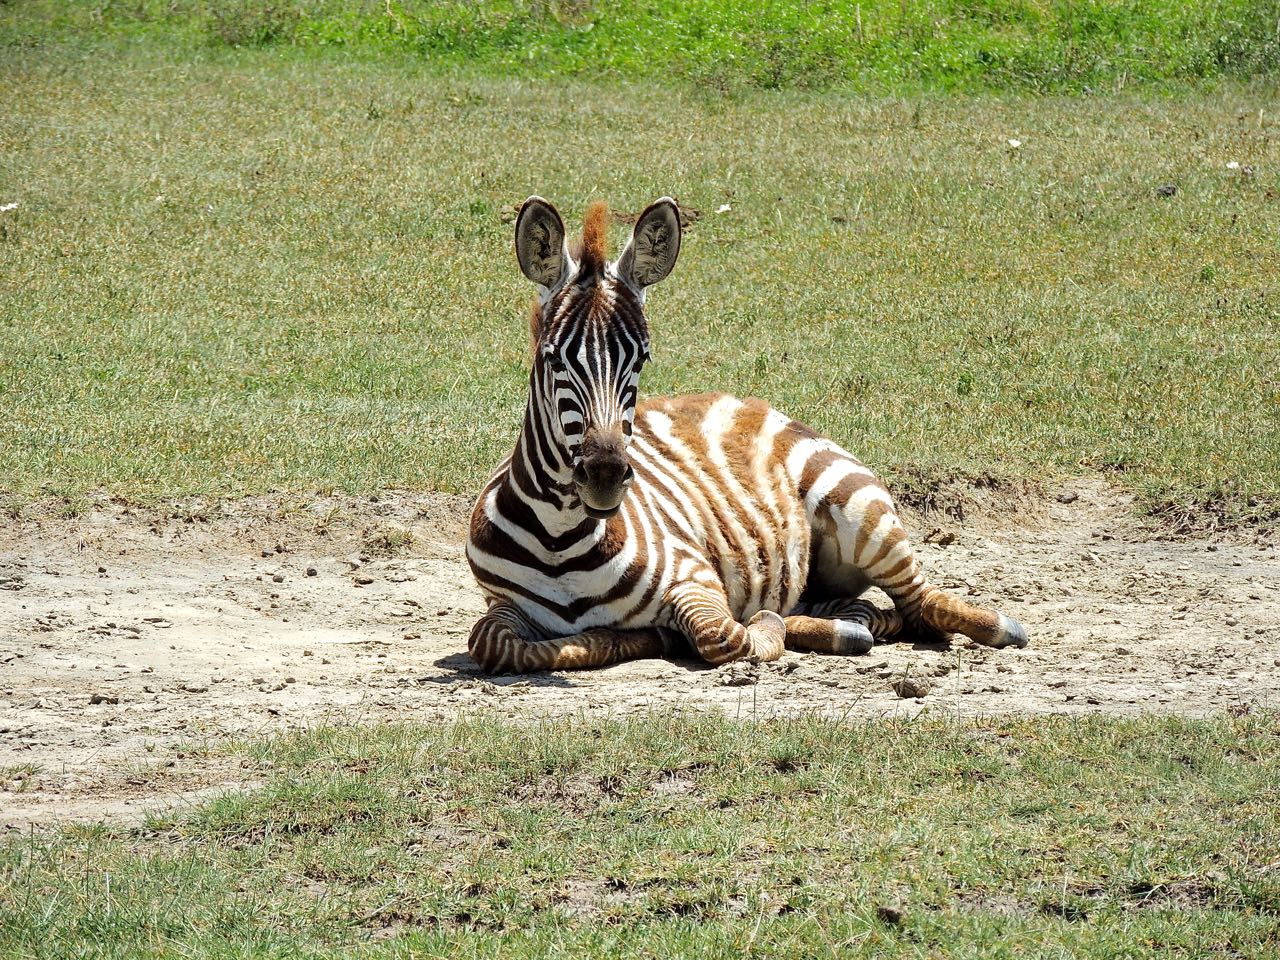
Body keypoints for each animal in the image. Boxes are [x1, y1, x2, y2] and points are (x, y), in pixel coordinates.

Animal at [465, 198, 1024, 670]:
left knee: (923, 603)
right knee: (877, 611)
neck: (559, 538)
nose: (603, 475)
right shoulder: (500, 606)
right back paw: (845, 624)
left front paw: (703, 632)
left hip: (861, 511)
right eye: (553, 357)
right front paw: (638, 638)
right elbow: (493, 643)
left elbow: (724, 637)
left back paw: (996, 626)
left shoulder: (697, 579)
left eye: (641, 359)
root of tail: (747, 401)